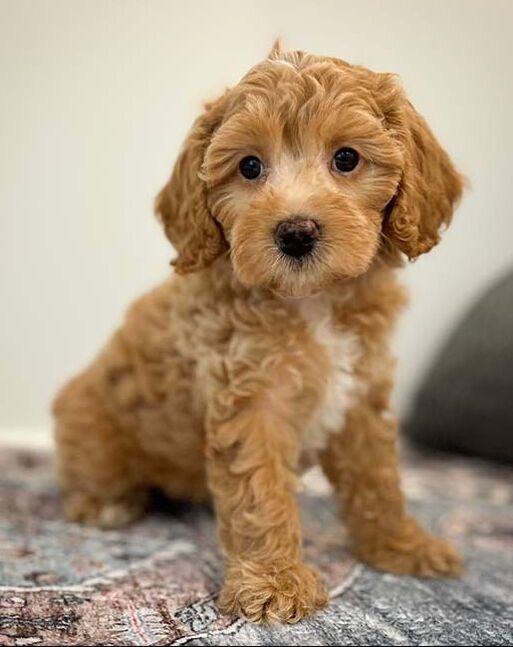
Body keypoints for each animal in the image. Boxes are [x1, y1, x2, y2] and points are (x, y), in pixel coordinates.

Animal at [54, 44, 462, 624]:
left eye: (347, 158)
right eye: (249, 166)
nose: (295, 232)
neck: (313, 300)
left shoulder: (360, 397)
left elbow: (378, 478)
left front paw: (401, 546)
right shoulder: (250, 399)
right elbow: (259, 492)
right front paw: (273, 582)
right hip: (90, 421)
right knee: (92, 473)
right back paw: (106, 504)